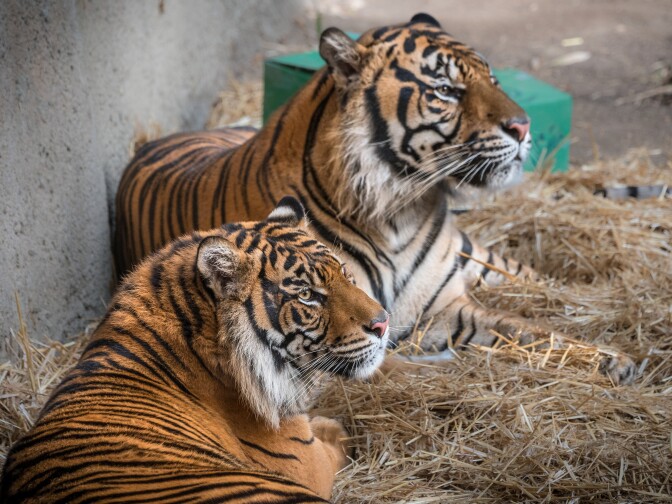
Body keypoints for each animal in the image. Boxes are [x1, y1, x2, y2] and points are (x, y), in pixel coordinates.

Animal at [1, 197, 391, 503]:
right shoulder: (307, 461)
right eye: (307, 295)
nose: (383, 323)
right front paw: (341, 431)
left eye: (345, 274)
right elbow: (333, 441)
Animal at [113, 13, 635, 384]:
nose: (523, 127)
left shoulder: (440, 307)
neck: (402, 209)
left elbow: (533, 330)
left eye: (494, 79)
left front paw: (614, 360)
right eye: (445, 89)